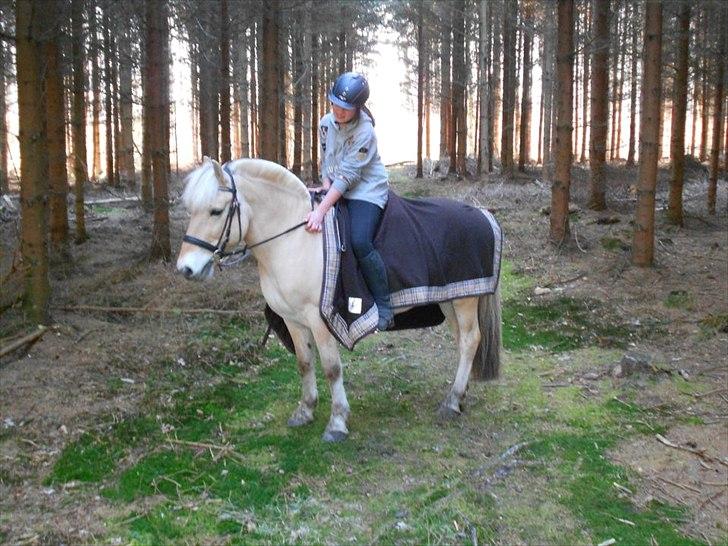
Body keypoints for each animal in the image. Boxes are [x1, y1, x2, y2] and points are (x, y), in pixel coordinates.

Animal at [176, 156, 502, 442]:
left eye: (216, 211)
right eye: (191, 210)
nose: (186, 269)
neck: (293, 239)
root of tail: (484, 215)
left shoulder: (319, 319)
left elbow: (332, 369)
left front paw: (337, 422)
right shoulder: (293, 320)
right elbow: (304, 363)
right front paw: (305, 410)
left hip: (465, 299)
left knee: (470, 340)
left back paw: (452, 401)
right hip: (452, 298)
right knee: (462, 340)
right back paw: (460, 395)